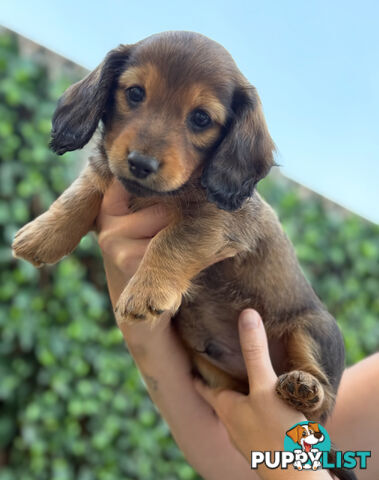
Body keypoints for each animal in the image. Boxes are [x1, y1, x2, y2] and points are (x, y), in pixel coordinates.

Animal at [12, 31, 350, 476]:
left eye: (201, 119)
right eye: (134, 93)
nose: (140, 163)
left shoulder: (218, 222)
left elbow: (171, 238)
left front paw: (146, 290)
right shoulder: (108, 177)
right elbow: (83, 190)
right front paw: (43, 234)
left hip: (314, 329)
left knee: (321, 403)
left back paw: (303, 388)